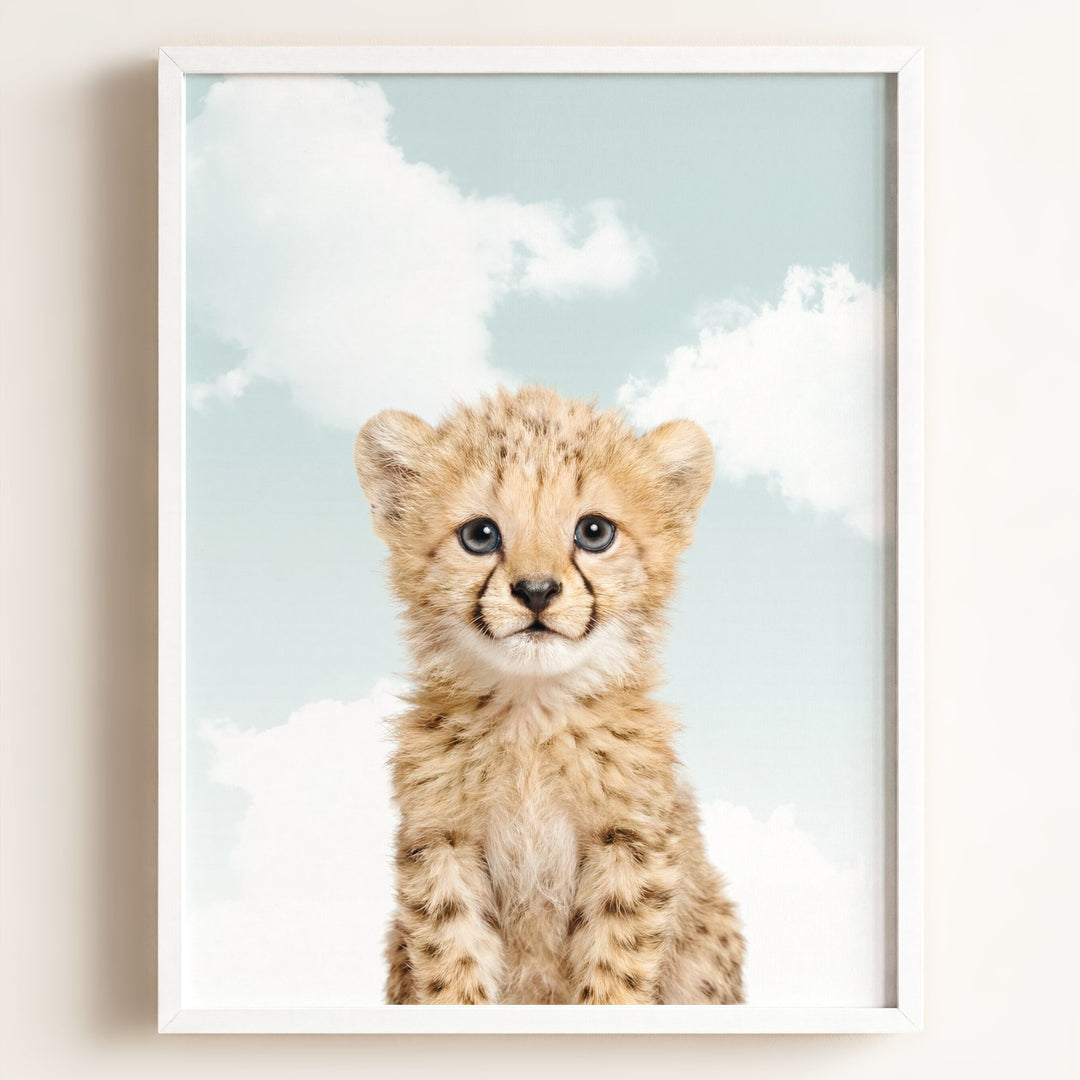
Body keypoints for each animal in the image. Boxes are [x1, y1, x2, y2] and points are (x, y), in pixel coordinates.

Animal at [354, 385, 744, 1005]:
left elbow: (615, 967)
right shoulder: (442, 843)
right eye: (480, 535)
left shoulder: (630, 844)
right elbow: (451, 961)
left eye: (594, 532)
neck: (531, 715)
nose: (536, 591)